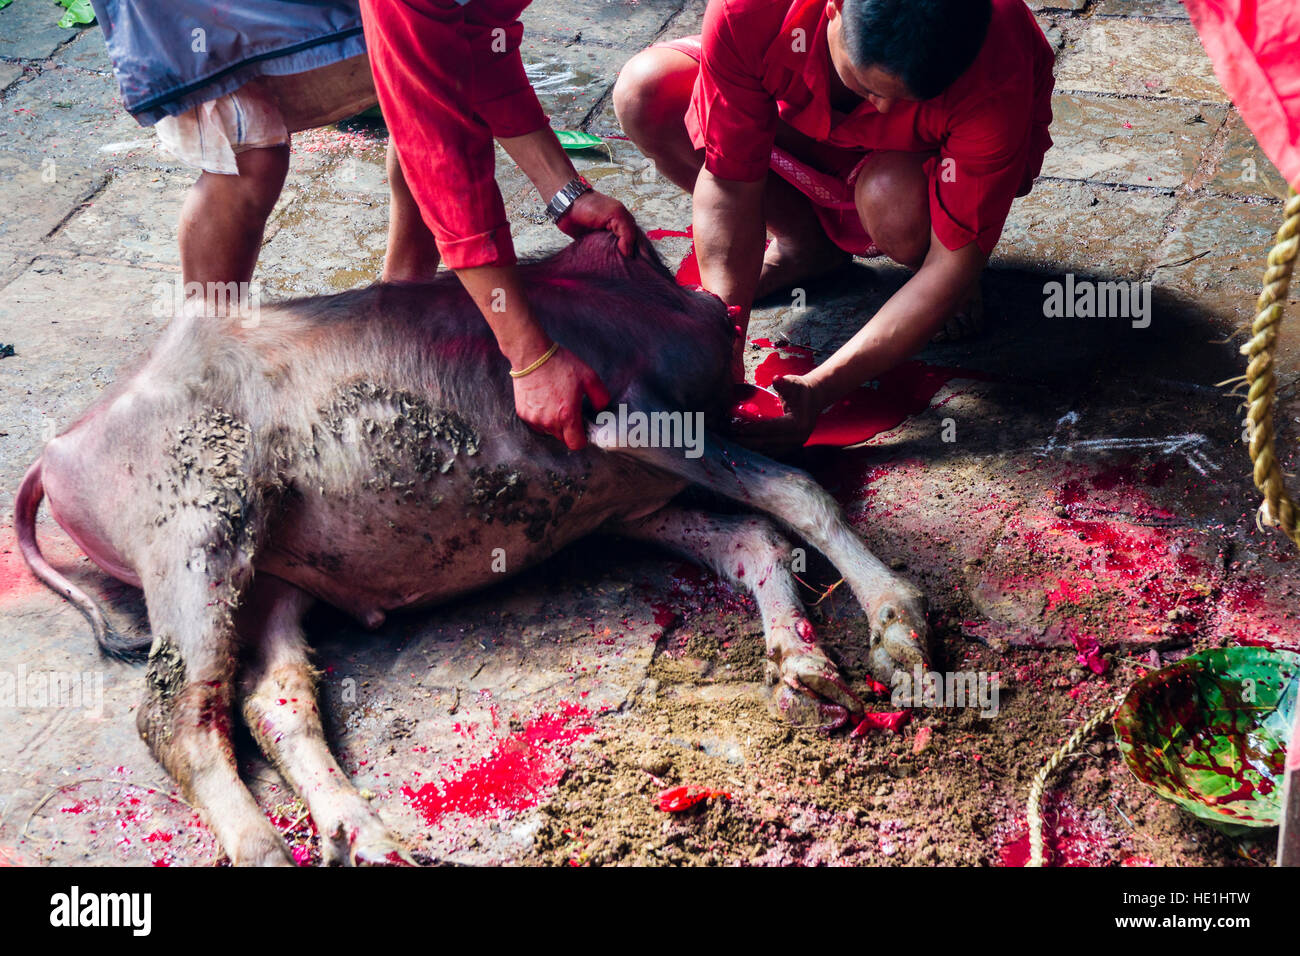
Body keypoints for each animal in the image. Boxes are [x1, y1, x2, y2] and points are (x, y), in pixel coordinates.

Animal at [10, 231, 925, 868]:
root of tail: (61, 443)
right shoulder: (632, 421)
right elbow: (794, 493)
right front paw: (898, 625)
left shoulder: (624, 501)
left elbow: (750, 536)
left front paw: (805, 668)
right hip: (197, 535)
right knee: (174, 713)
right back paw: (268, 849)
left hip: (268, 574)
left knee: (275, 701)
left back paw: (366, 837)